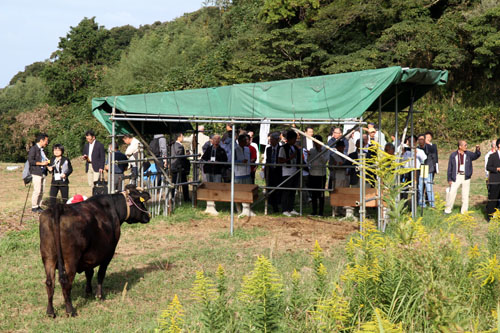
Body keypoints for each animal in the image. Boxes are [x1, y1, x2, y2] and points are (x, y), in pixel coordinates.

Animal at [39, 184, 150, 316]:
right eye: (140, 202)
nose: (148, 216)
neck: (112, 209)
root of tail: (59, 207)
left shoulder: (89, 256)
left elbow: (89, 273)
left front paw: (88, 292)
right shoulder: (108, 254)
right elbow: (100, 274)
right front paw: (99, 295)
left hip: (48, 257)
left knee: (49, 282)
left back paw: (50, 311)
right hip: (70, 259)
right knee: (66, 282)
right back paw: (70, 310)